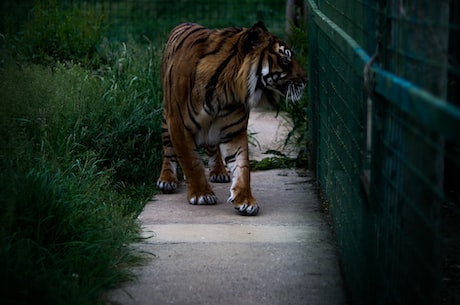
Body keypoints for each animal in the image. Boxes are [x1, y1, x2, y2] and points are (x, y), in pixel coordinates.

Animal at [157, 21, 306, 215]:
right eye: (286, 60)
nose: (306, 80)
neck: (226, 92)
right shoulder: (179, 126)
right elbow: (191, 162)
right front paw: (201, 194)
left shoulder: (234, 130)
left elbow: (242, 167)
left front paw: (245, 200)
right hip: (166, 117)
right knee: (168, 150)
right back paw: (167, 179)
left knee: (212, 146)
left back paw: (219, 171)